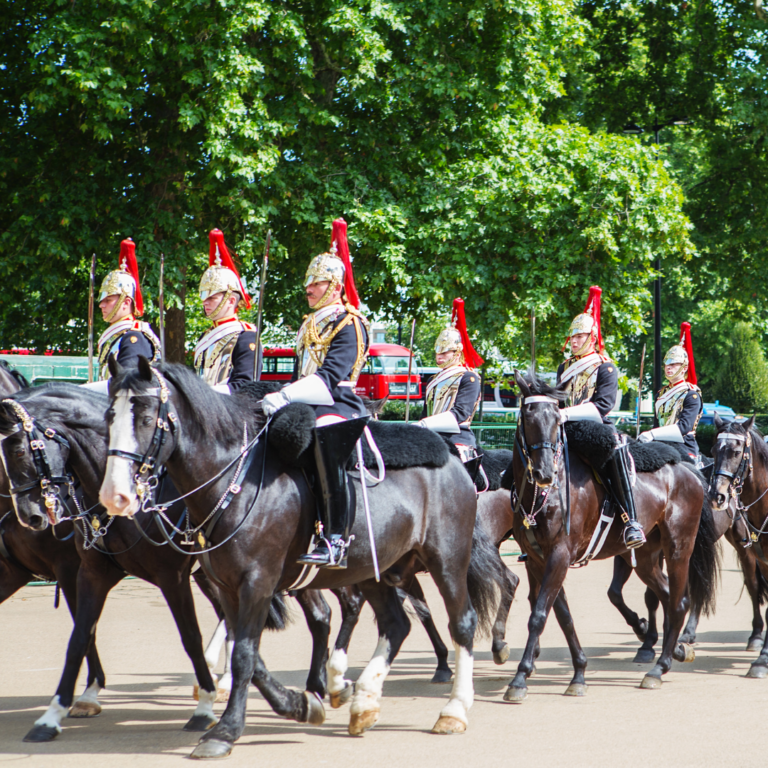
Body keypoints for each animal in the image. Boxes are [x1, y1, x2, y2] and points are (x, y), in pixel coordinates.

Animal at [100, 358, 510, 756]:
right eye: (109, 416)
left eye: (147, 417)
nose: (115, 496)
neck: (235, 481)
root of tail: (455, 461)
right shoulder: (228, 586)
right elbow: (249, 654)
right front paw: (299, 704)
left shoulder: (257, 582)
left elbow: (245, 652)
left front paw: (227, 730)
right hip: (379, 569)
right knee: (396, 624)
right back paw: (364, 701)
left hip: (447, 560)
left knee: (462, 622)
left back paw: (453, 709)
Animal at [504, 374, 720, 704]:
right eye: (527, 417)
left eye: (557, 419)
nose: (544, 473)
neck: (542, 496)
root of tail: (688, 468)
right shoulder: (538, 561)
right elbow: (562, 615)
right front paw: (579, 673)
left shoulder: (559, 556)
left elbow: (539, 614)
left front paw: (520, 678)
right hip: (645, 557)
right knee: (668, 596)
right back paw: (672, 649)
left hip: (678, 548)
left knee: (679, 602)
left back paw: (659, 668)